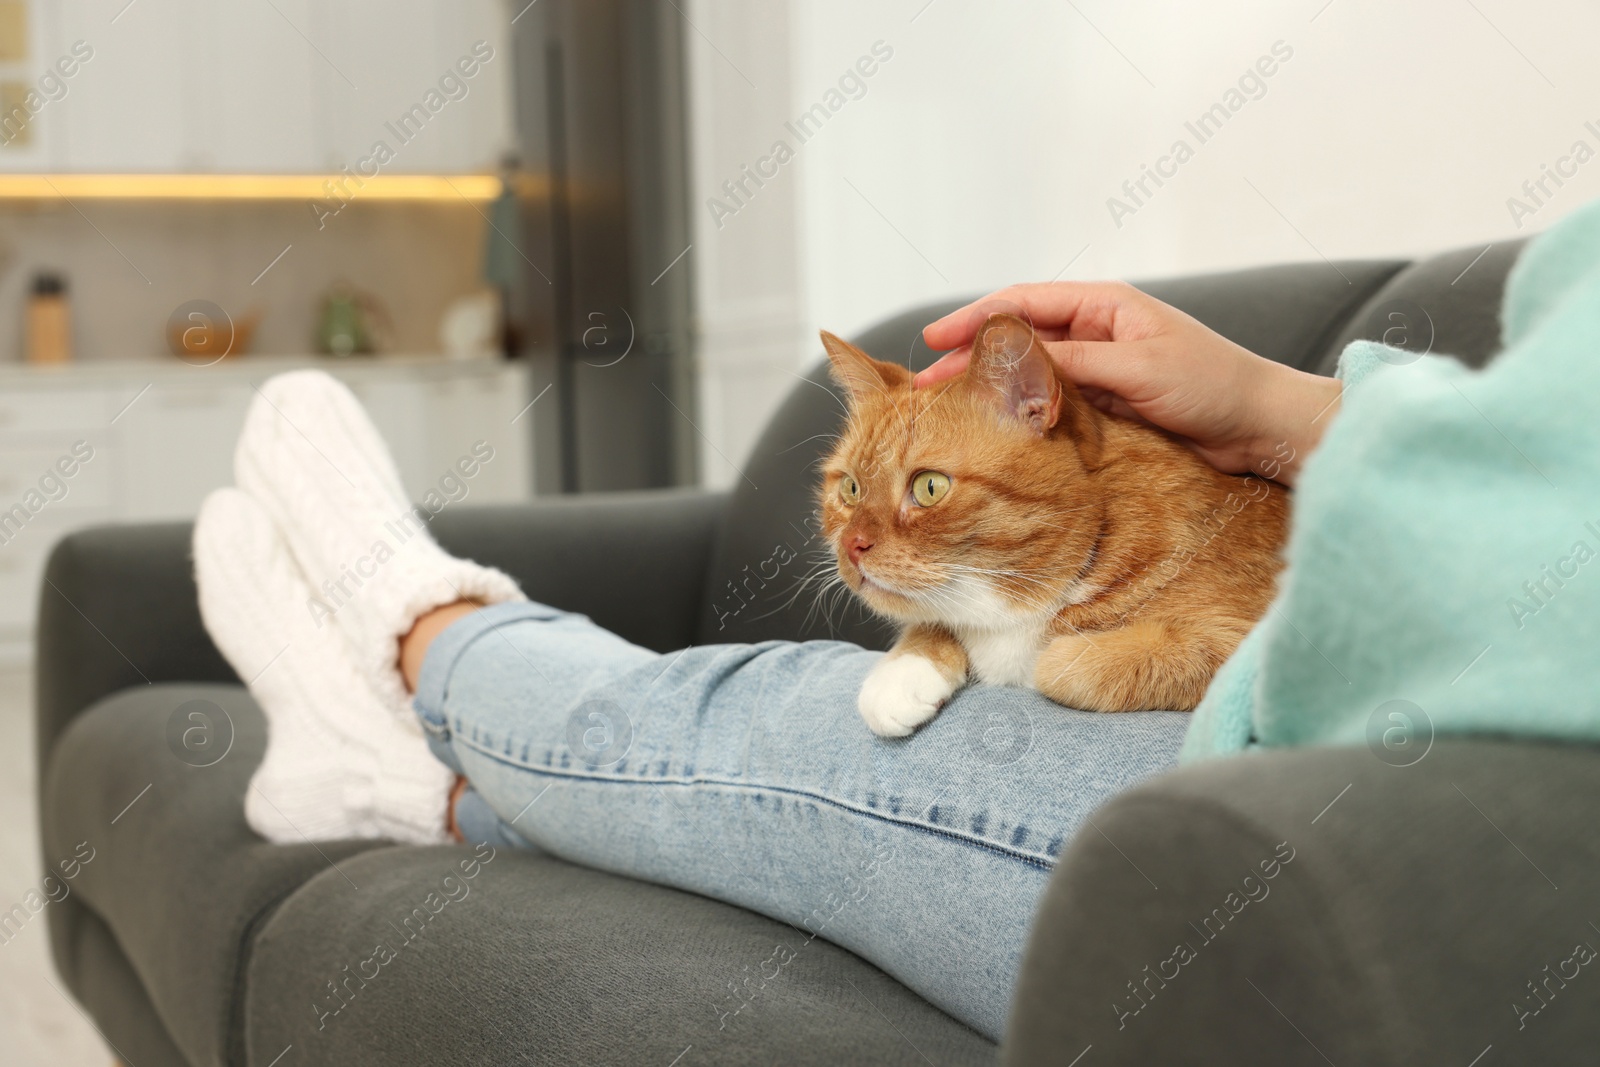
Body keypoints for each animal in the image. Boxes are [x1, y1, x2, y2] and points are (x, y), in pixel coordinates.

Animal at [819, 313, 1292, 739]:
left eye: (929, 487)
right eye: (851, 489)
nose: (852, 545)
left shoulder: (1255, 646)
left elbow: (1057, 666)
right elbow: (929, 619)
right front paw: (902, 672)